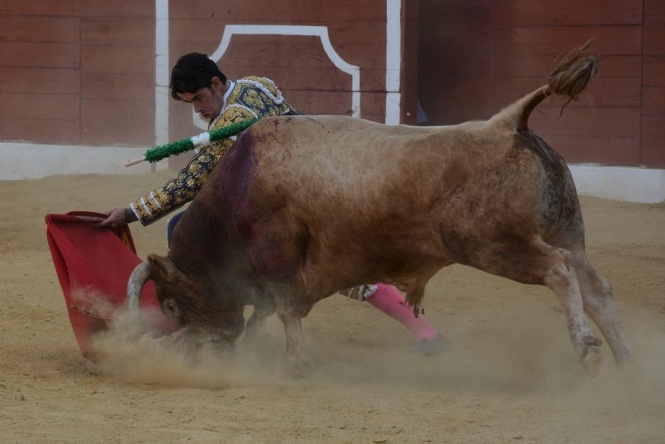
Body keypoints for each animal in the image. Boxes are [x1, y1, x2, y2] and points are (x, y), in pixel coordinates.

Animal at [128, 41, 632, 376]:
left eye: (170, 304)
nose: (195, 350)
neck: (235, 194)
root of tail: (509, 123)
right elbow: (267, 315)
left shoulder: (279, 266)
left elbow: (285, 312)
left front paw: (291, 365)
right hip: (566, 232)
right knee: (598, 289)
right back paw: (626, 363)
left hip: (494, 244)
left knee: (559, 270)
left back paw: (587, 348)